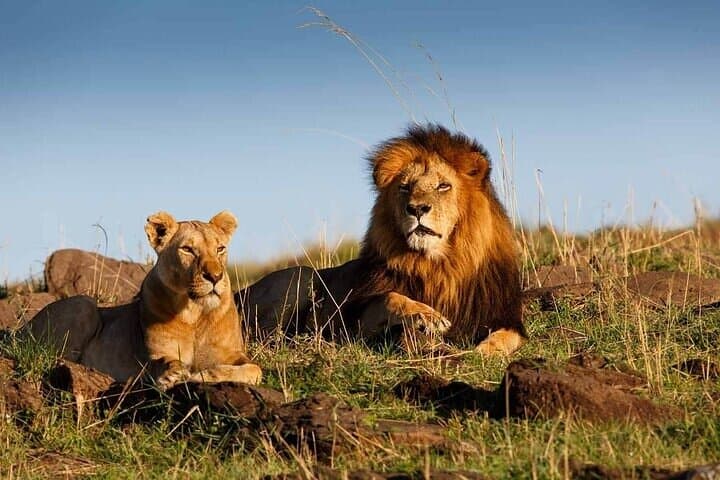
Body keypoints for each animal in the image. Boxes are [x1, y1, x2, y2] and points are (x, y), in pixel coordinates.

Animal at [28, 210, 261, 389]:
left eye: (220, 249)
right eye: (187, 249)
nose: (215, 276)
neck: (195, 313)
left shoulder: (233, 354)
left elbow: (255, 369)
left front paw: (204, 375)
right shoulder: (154, 355)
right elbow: (163, 361)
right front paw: (173, 374)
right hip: (83, 304)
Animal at [239, 124, 525, 355]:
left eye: (443, 186)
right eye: (405, 187)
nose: (417, 208)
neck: (438, 265)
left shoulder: (503, 316)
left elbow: (508, 337)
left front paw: (485, 351)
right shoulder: (357, 322)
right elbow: (391, 297)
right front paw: (427, 316)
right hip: (301, 275)